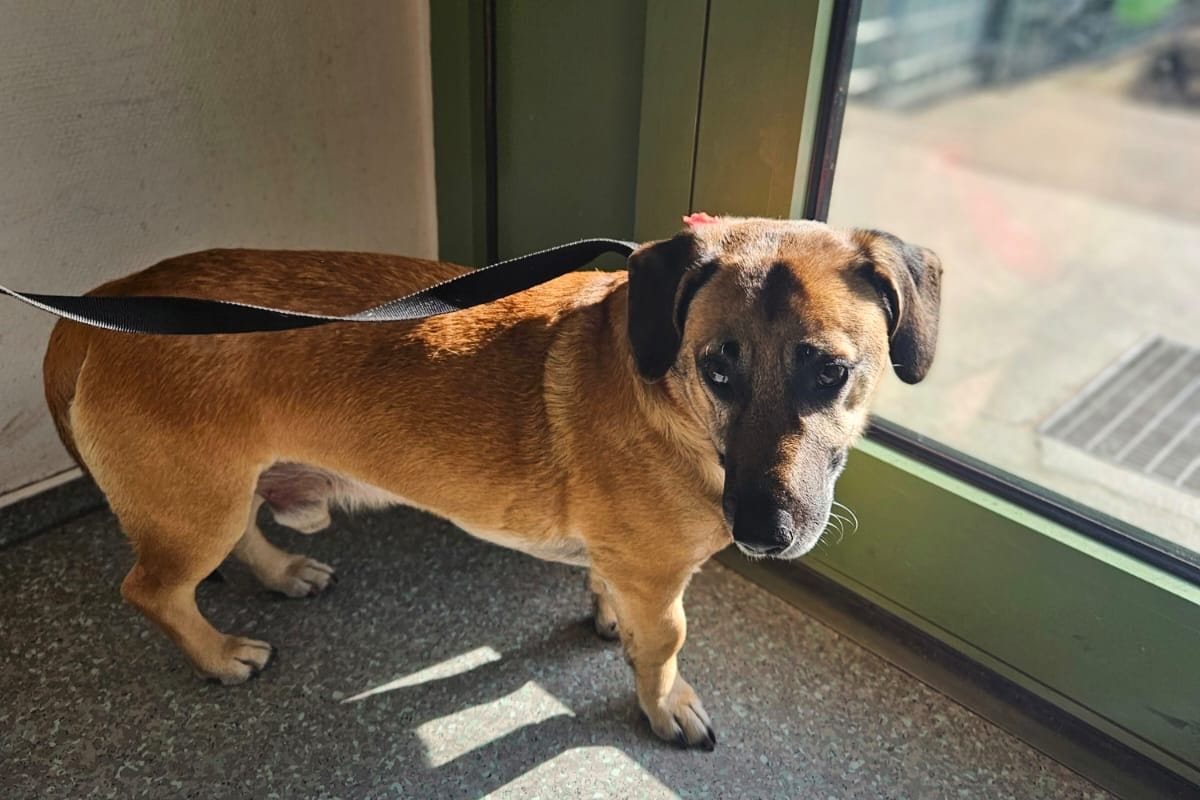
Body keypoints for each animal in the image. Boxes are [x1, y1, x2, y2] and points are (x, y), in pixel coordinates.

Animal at [37, 214, 940, 753]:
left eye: (830, 373)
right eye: (717, 369)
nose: (761, 531)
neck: (668, 403)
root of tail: (97, 312)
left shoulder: (628, 565)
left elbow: (615, 604)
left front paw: (607, 620)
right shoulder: (659, 580)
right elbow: (664, 650)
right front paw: (666, 706)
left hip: (227, 495)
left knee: (245, 539)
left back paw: (283, 572)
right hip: (198, 511)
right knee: (155, 591)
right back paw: (220, 655)